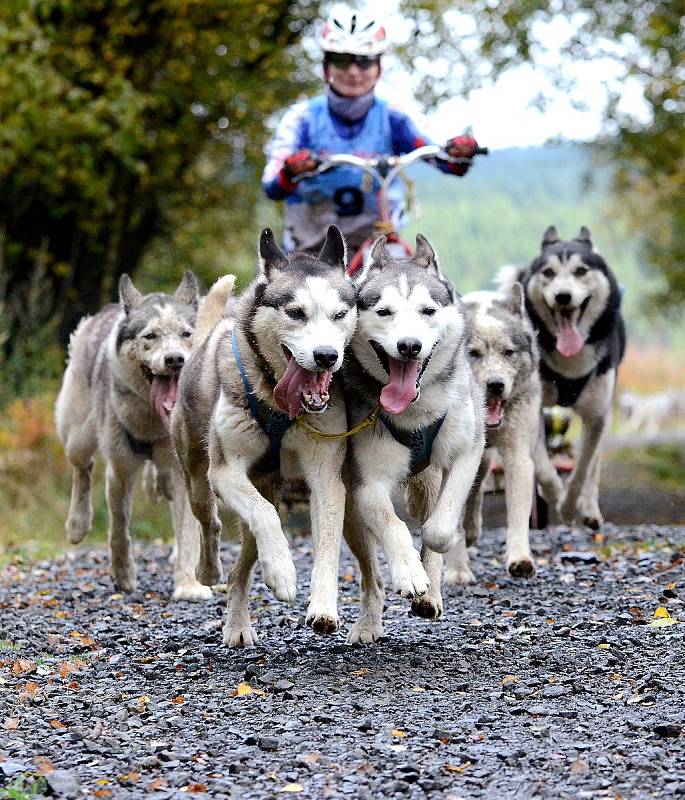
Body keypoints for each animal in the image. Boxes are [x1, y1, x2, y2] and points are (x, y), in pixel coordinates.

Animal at [56, 274, 208, 600]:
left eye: (186, 334)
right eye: (150, 336)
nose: (175, 359)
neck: (154, 424)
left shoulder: (186, 472)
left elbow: (188, 531)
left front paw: (189, 584)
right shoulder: (121, 470)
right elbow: (119, 529)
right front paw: (123, 574)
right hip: (78, 434)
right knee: (82, 469)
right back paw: (77, 524)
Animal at [170, 225, 358, 644]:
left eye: (339, 314)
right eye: (295, 313)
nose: (326, 356)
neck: (281, 407)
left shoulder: (326, 477)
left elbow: (327, 544)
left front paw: (323, 605)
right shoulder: (225, 471)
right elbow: (267, 516)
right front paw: (284, 573)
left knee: (242, 567)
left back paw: (238, 623)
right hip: (197, 476)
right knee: (210, 521)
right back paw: (209, 571)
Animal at [344, 233, 484, 644]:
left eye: (428, 311)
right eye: (384, 312)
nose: (409, 346)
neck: (414, 414)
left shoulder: (468, 450)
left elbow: (438, 529)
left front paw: (434, 558)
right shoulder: (368, 483)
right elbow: (393, 525)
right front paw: (408, 571)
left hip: (430, 480)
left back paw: (431, 594)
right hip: (352, 517)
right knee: (371, 575)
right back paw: (369, 622)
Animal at [444, 284, 540, 584]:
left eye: (508, 351)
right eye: (474, 353)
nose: (496, 385)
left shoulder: (518, 457)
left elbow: (518, 517)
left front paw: (520, 559)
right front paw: (457, 571)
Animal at [512, 225, 624, 528]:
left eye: (581, 270)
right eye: (548, 272)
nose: (563, 296)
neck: (570, 362)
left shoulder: (596, 415)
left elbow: (583, 468)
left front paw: (570, 506)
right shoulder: (534, 407)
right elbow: (542, 465)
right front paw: (554, 495)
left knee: (594, 466)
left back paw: (590, 510)